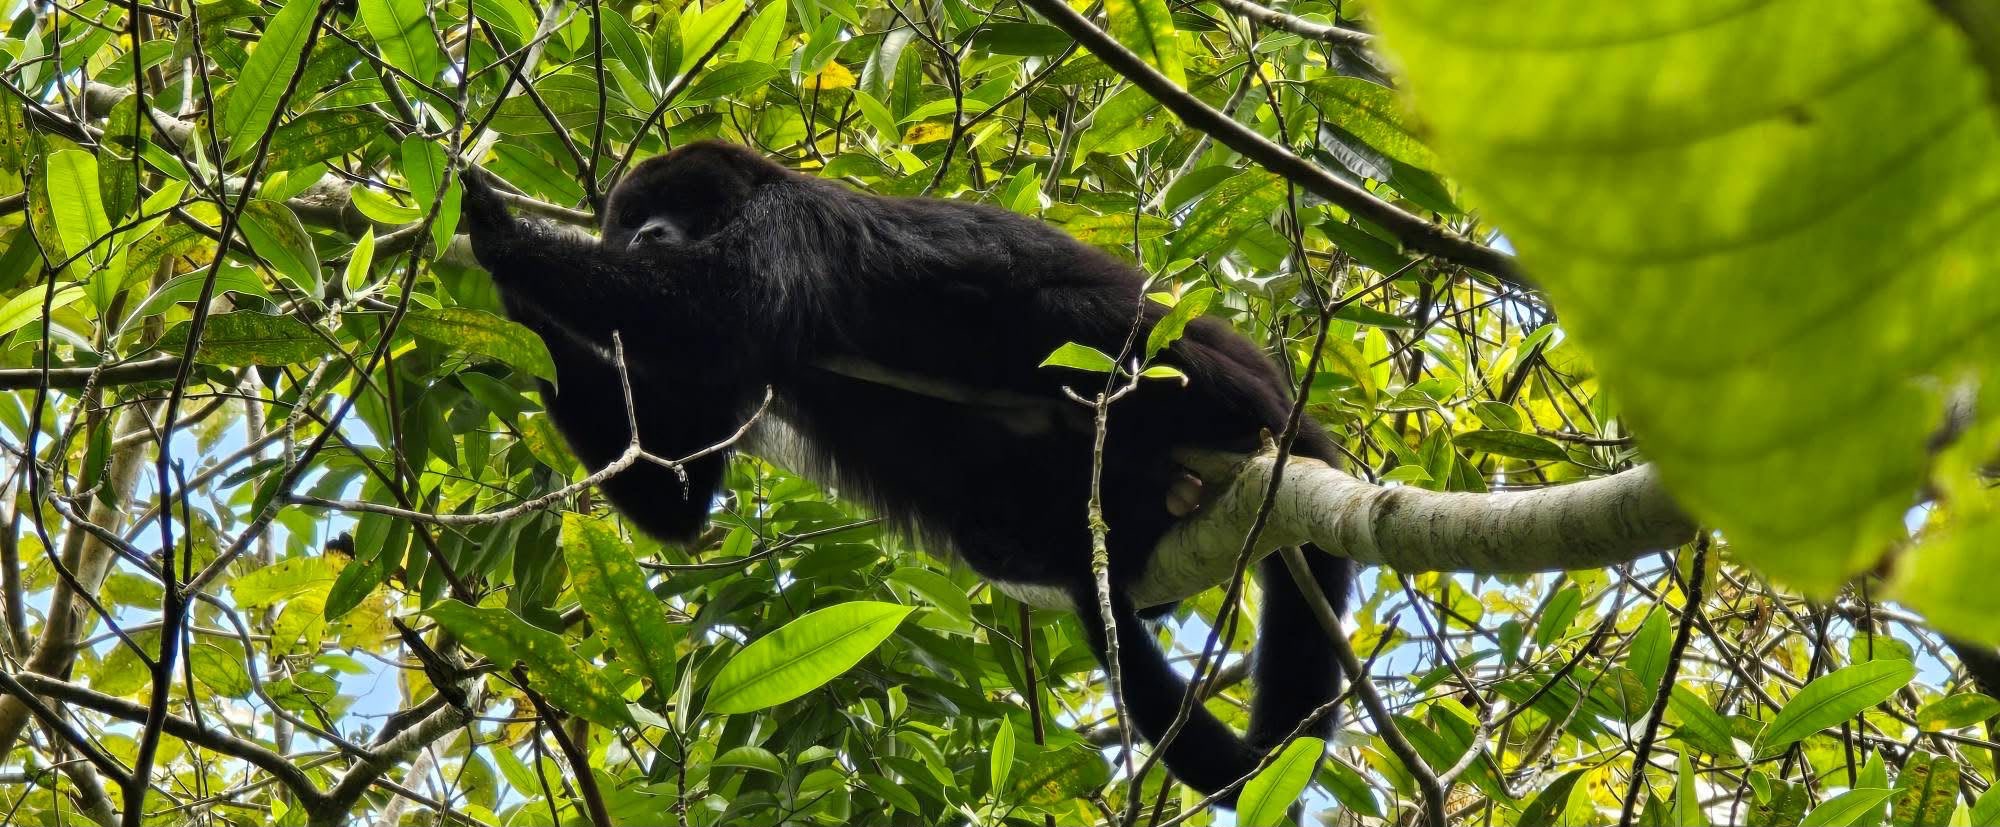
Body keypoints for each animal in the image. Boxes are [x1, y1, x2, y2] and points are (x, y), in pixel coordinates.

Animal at [458, 141, 1353, 800]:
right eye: (634, 218)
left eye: (679, 208)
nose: (644, 237)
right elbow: (676, 490)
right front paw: (500, 317)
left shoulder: (794, 222)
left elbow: (714, 309)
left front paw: (498, 234)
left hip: (1209, 371)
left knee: (1080, 318)